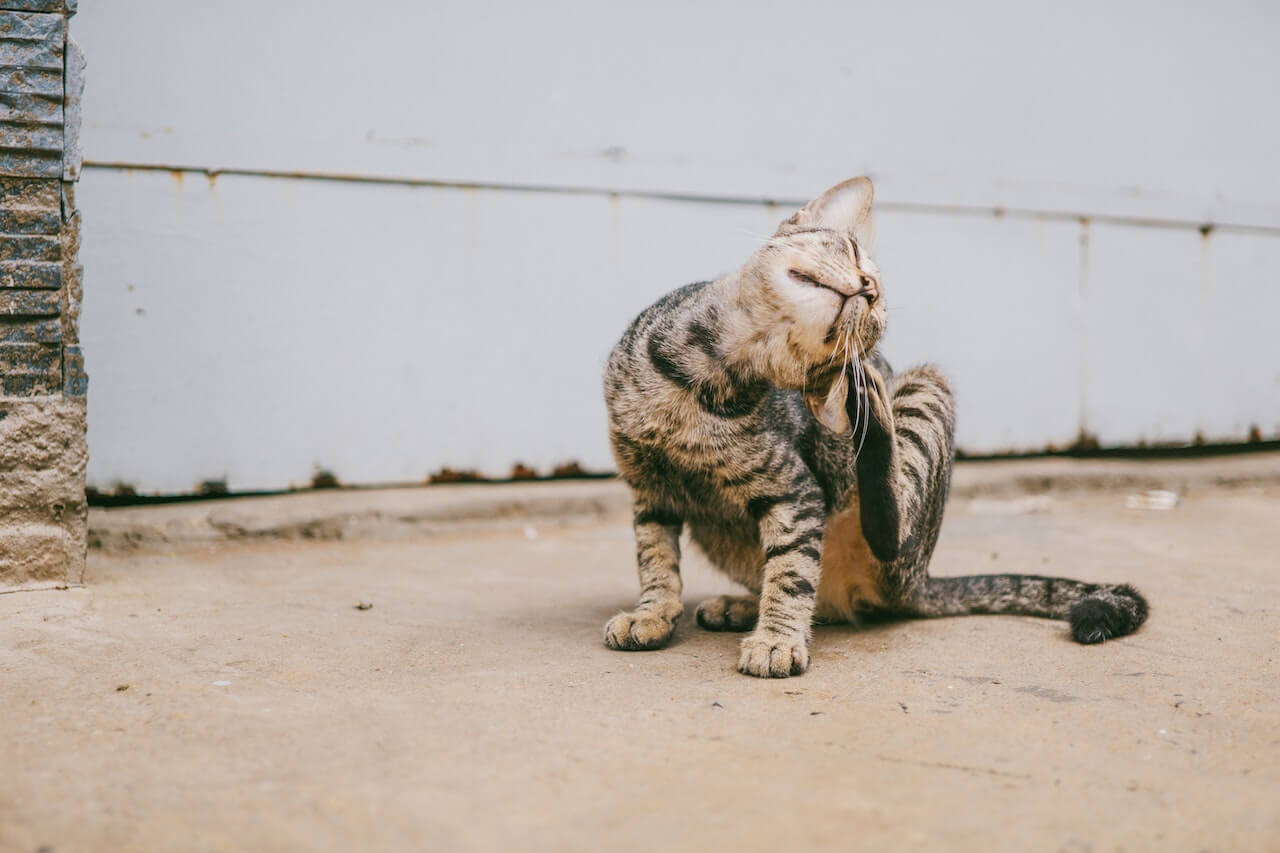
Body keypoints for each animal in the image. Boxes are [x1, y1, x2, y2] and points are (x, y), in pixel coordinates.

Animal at [599, 174, 1152, 676]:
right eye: (851, 252)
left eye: (875, 316)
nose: (868, 288)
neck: (698, 376)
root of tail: (920, 579)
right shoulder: (650, 490)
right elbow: (657, 562)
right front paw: (651, 614)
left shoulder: (796, 492)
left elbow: (792, 571)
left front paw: (777, 639)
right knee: (811, 594)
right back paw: (741, 605)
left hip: (924, 402)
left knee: (885, 530)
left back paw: (869, 405)